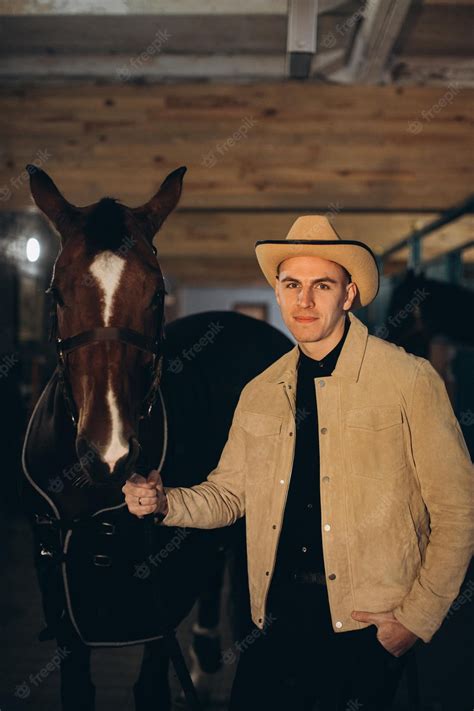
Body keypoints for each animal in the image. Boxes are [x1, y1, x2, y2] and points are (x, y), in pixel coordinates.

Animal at [22, 167, 292, 711]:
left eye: (156, 293)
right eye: (57, 293)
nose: (110, 454)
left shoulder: (160, 605)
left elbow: (150, 688)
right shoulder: (62, 611)